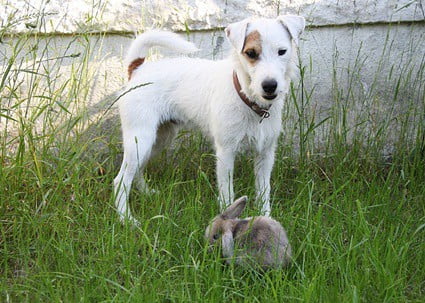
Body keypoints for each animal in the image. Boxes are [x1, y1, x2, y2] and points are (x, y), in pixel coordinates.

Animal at [113, 16, 304, 226]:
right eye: (251, 53)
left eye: (282, 51)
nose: (270, 86)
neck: (246, 97)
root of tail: (138, 68)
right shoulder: (226, 153)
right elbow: (227, 193)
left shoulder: (266, 154)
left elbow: (264, 191)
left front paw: (266, 218)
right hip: (140, 139)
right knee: (121, 180)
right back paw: (126, 219)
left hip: (157, 140)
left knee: (137, 170)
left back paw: (146, 193)